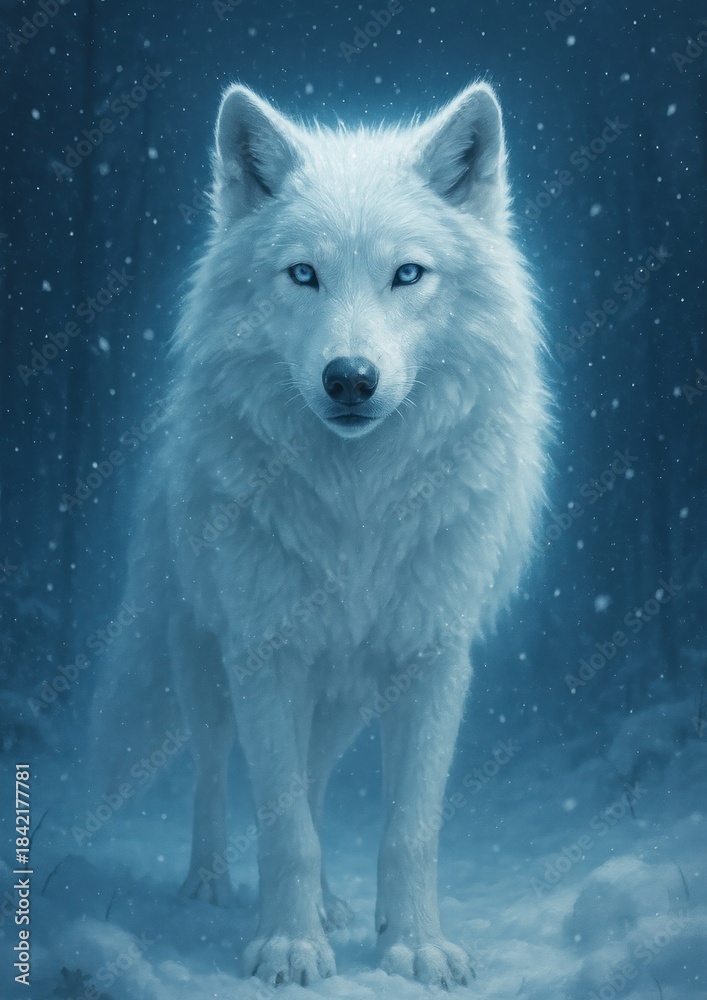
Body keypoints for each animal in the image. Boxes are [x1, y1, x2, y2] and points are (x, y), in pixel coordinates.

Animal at [93, 81, 547, 989]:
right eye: (303, 273)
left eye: (406, 273)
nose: (350, 379)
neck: (359, 503)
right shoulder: (264, 655)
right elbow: (283, 827)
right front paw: (287, 947)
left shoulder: (432, 661)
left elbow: (406, 828)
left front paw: (412, 947)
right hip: (203, 665)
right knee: (213, 774)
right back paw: (209, 884)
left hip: (344, 702)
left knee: (314, 777)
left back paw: (337, 906)